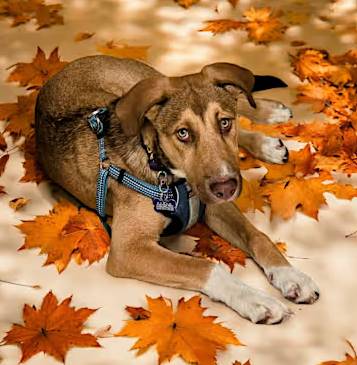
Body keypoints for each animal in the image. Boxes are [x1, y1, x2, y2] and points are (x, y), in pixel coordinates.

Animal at [34, 57, 318, 324]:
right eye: (183, 133)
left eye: (225, 123)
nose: (226, 187)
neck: (167, 172)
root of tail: (66, 68)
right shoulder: (128, 249)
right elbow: (204, 266)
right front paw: (255, 299)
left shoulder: (212, 204)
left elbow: (258, 236)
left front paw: (291, 275)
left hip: (141, 82)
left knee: (241, 98)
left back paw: (269, 124)